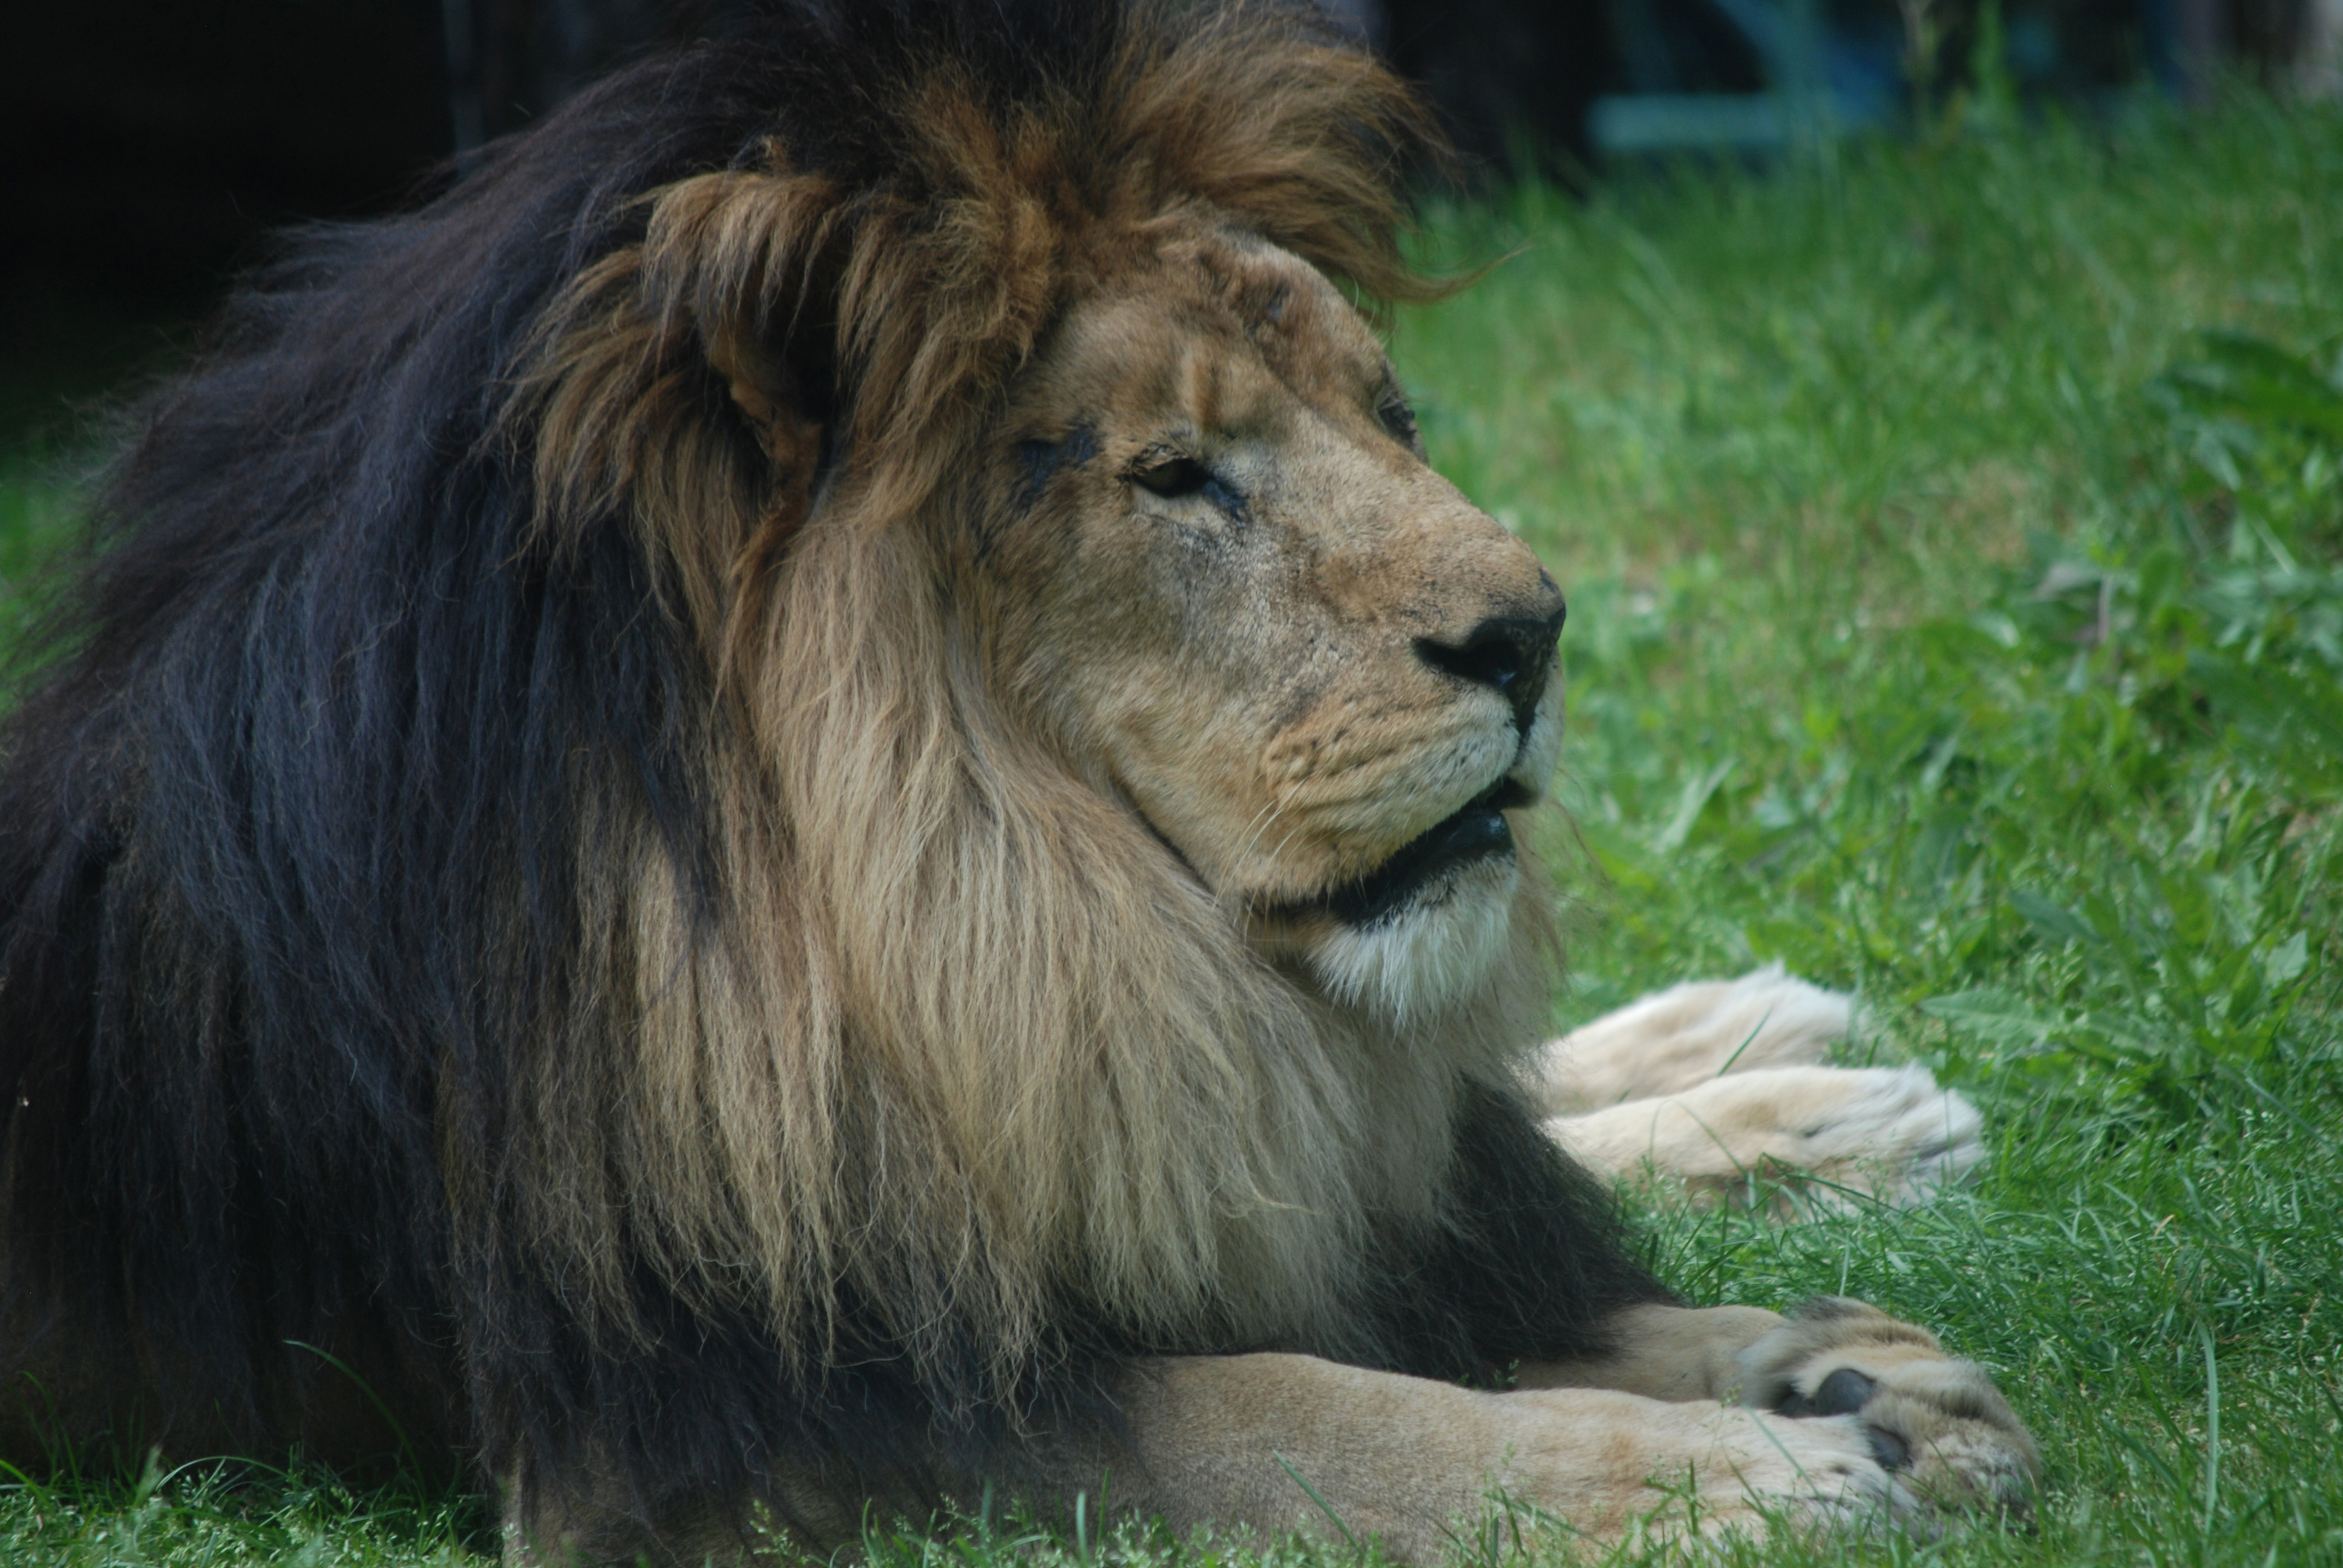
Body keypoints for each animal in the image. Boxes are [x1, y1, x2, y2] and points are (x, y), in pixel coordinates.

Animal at [0, 1, 2036, 1560]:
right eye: (1174, 477)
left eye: (1392, 418)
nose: (1533, 636)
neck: (965, 921)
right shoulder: (715, 1433)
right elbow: (1297, 1407)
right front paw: (1747, 1463)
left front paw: (1829, 1369)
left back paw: (1802, 1091)